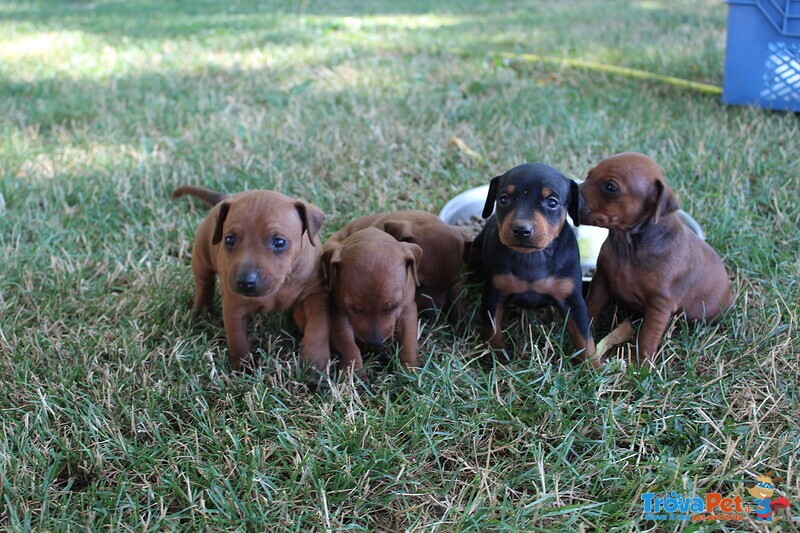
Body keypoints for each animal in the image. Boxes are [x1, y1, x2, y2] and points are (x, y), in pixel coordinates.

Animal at [172, 185, 328, 372]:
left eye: (279, 242)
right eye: (229, 240)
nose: (245, 282)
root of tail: (226, 198)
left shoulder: (315, 294)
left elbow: (317, 327)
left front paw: (316, 362)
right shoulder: (234, 306)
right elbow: (237, 339)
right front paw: (243, 367)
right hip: (201, 258)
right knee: (204, 286)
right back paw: (200, 314)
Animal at [466, 161, 596, 366]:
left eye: (552, 203)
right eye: (503, 199)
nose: (521, 230)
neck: (532, 257)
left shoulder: (573, 299)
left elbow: (584, 336)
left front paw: (593, 366)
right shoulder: (494, 294)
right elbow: (491, 327)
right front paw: (495, 356)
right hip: (476, 249)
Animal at [580, 152, 736, 364]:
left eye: (611, 187)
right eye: (588, 175)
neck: (628, 246)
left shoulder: (660, 305)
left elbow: (648, 335)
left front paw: (641, 363)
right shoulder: (602, 280)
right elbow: (592, 307)